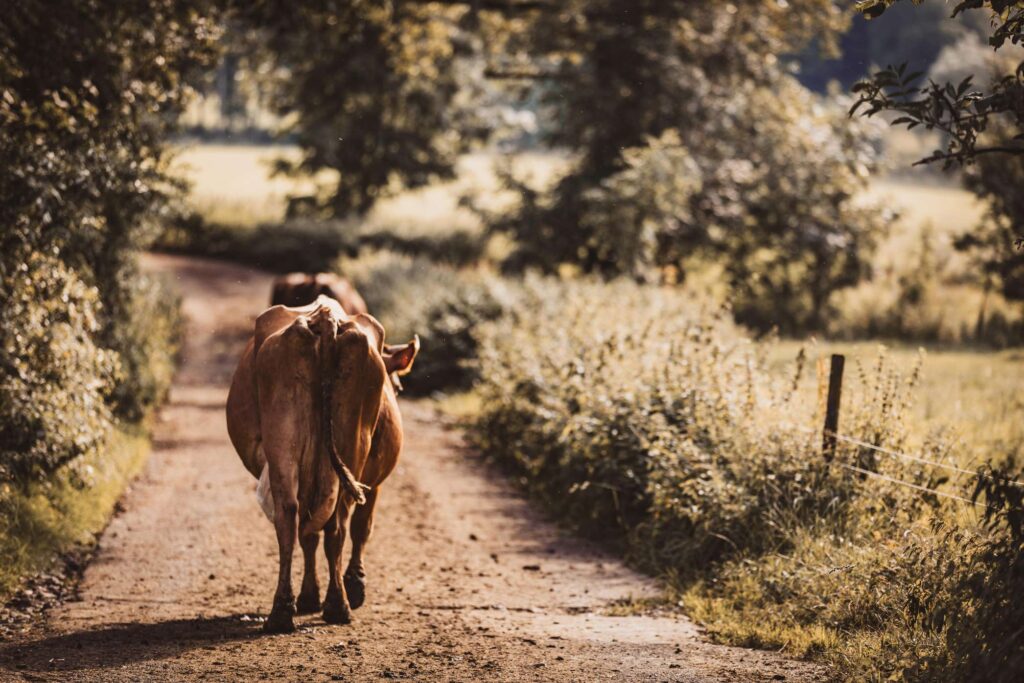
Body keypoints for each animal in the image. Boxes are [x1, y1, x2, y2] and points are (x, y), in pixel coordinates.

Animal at [226, 296, 417, 634]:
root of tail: (327, 317)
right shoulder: (374, 482)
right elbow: (360, 527)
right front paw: (353, 586)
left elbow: (311, 533)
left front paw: (311, 594)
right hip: (349, 447)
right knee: (336, 524)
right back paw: (337, 604)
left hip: (284, 445)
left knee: (290, 518)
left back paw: (284, 611)